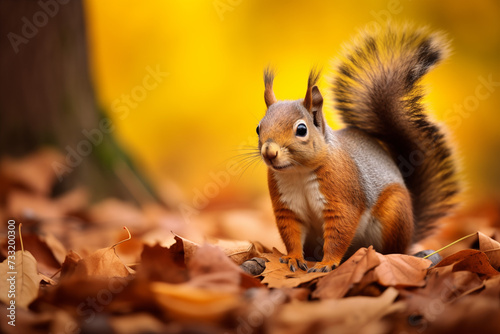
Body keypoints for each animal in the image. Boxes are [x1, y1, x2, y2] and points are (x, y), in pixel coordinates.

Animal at [258, 25, 460, 272]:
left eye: (302, 129)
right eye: (258, 128)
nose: (269, 152)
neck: (298, 172)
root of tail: (410, 235)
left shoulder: (343, 196)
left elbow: (339, 232)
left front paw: (327, 263)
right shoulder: (287, 207)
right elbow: (291, 234)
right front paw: (294, 258)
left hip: (393, 214)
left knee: (393, 248)